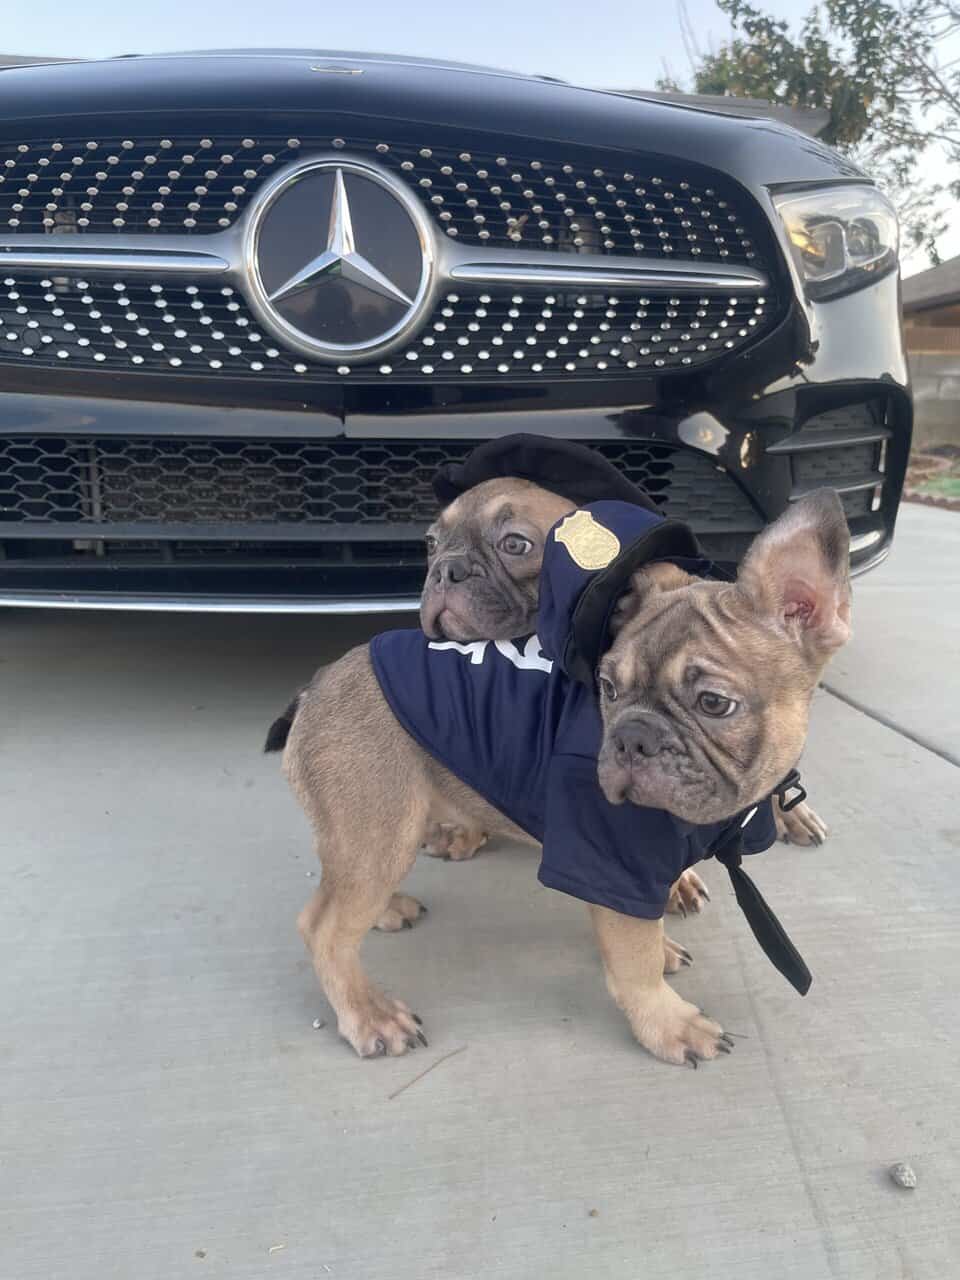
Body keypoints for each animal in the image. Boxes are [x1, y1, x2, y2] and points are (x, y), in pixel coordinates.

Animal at [267, 489, 850, 1067]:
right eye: (608, 689)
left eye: (713, 703)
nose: (631, 737)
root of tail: (315, 687)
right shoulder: (611, 862)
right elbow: (634, 960)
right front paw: (669, 1023)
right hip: (379, 832)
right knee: (323, 929)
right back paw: (369, 1014)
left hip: (369, 838)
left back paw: (386, 911)